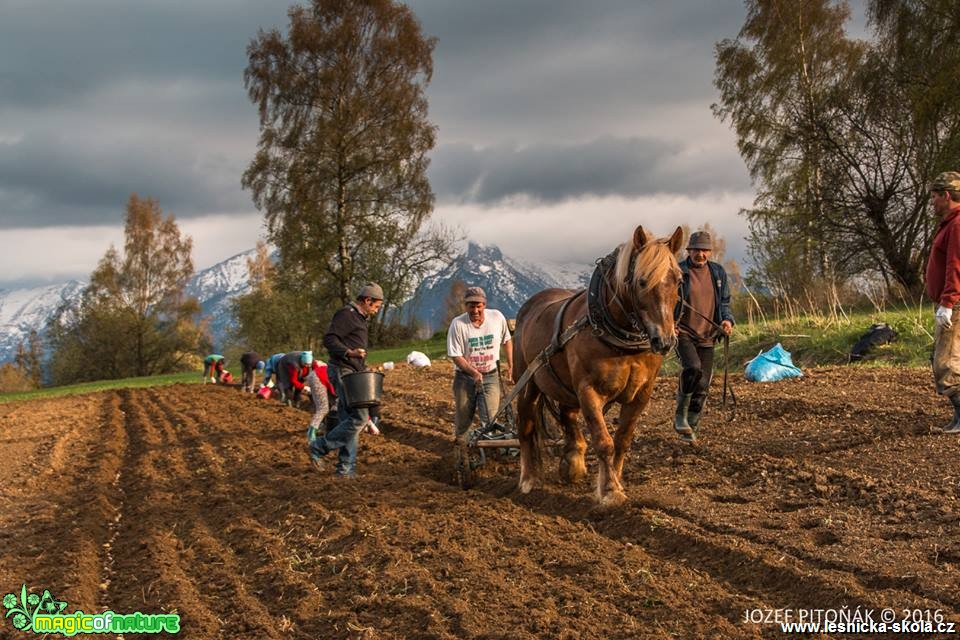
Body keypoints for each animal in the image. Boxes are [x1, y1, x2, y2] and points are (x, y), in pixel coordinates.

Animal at [510, 222, 684, 508]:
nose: (666, 340)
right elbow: (604, 442)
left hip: (564, 387)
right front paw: (610, 491)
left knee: (568, 416)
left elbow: (622, 440)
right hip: (527, 382)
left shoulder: (642, 394)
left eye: (679, 280)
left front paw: (615, 482)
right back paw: (527, 480)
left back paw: (573, 462)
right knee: (525, 425)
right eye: (642, 281)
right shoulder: (588, 391)